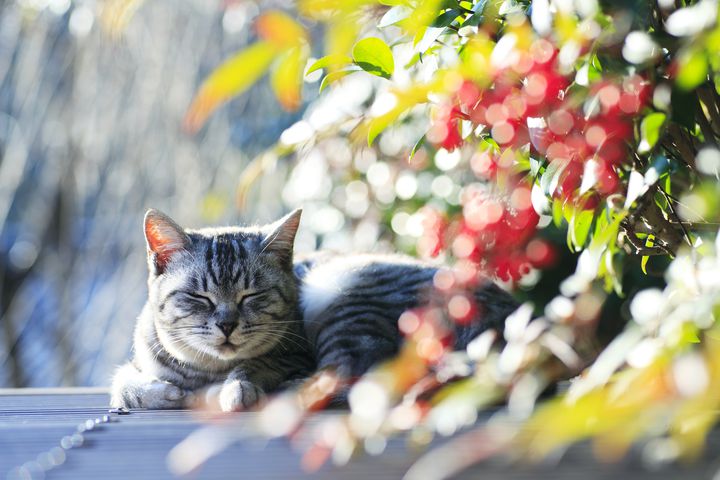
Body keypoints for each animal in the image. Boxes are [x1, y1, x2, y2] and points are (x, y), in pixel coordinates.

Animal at [109, 208, 516, 410]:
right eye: (200, 297)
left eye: (251, 296)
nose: (226, 324)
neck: (206, 370)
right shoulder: (138, 362)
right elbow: (124, 383)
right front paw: (163, 392)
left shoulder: (292, 354)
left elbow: (252, 367)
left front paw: (235, 388)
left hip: (342, 294)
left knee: (351, 376)